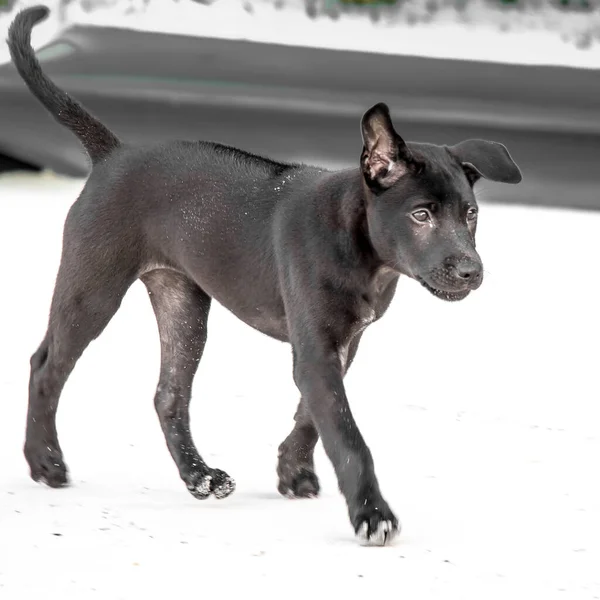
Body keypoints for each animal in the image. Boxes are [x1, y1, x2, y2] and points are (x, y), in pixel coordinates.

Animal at [7, 5, 520, 548]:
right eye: (421, 215)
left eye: (470, 214)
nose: (471, 270)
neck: (361, 247)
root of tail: (113, 154)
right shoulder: (317, 351)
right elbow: (346, 433)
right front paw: (371, 512)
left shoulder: (341, 344)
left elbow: (312, 417)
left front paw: (293, 471)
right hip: (93, 289)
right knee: (46, 365)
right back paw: (45, 462)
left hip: (184, 305)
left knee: (169, 395)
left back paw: (199, 477)